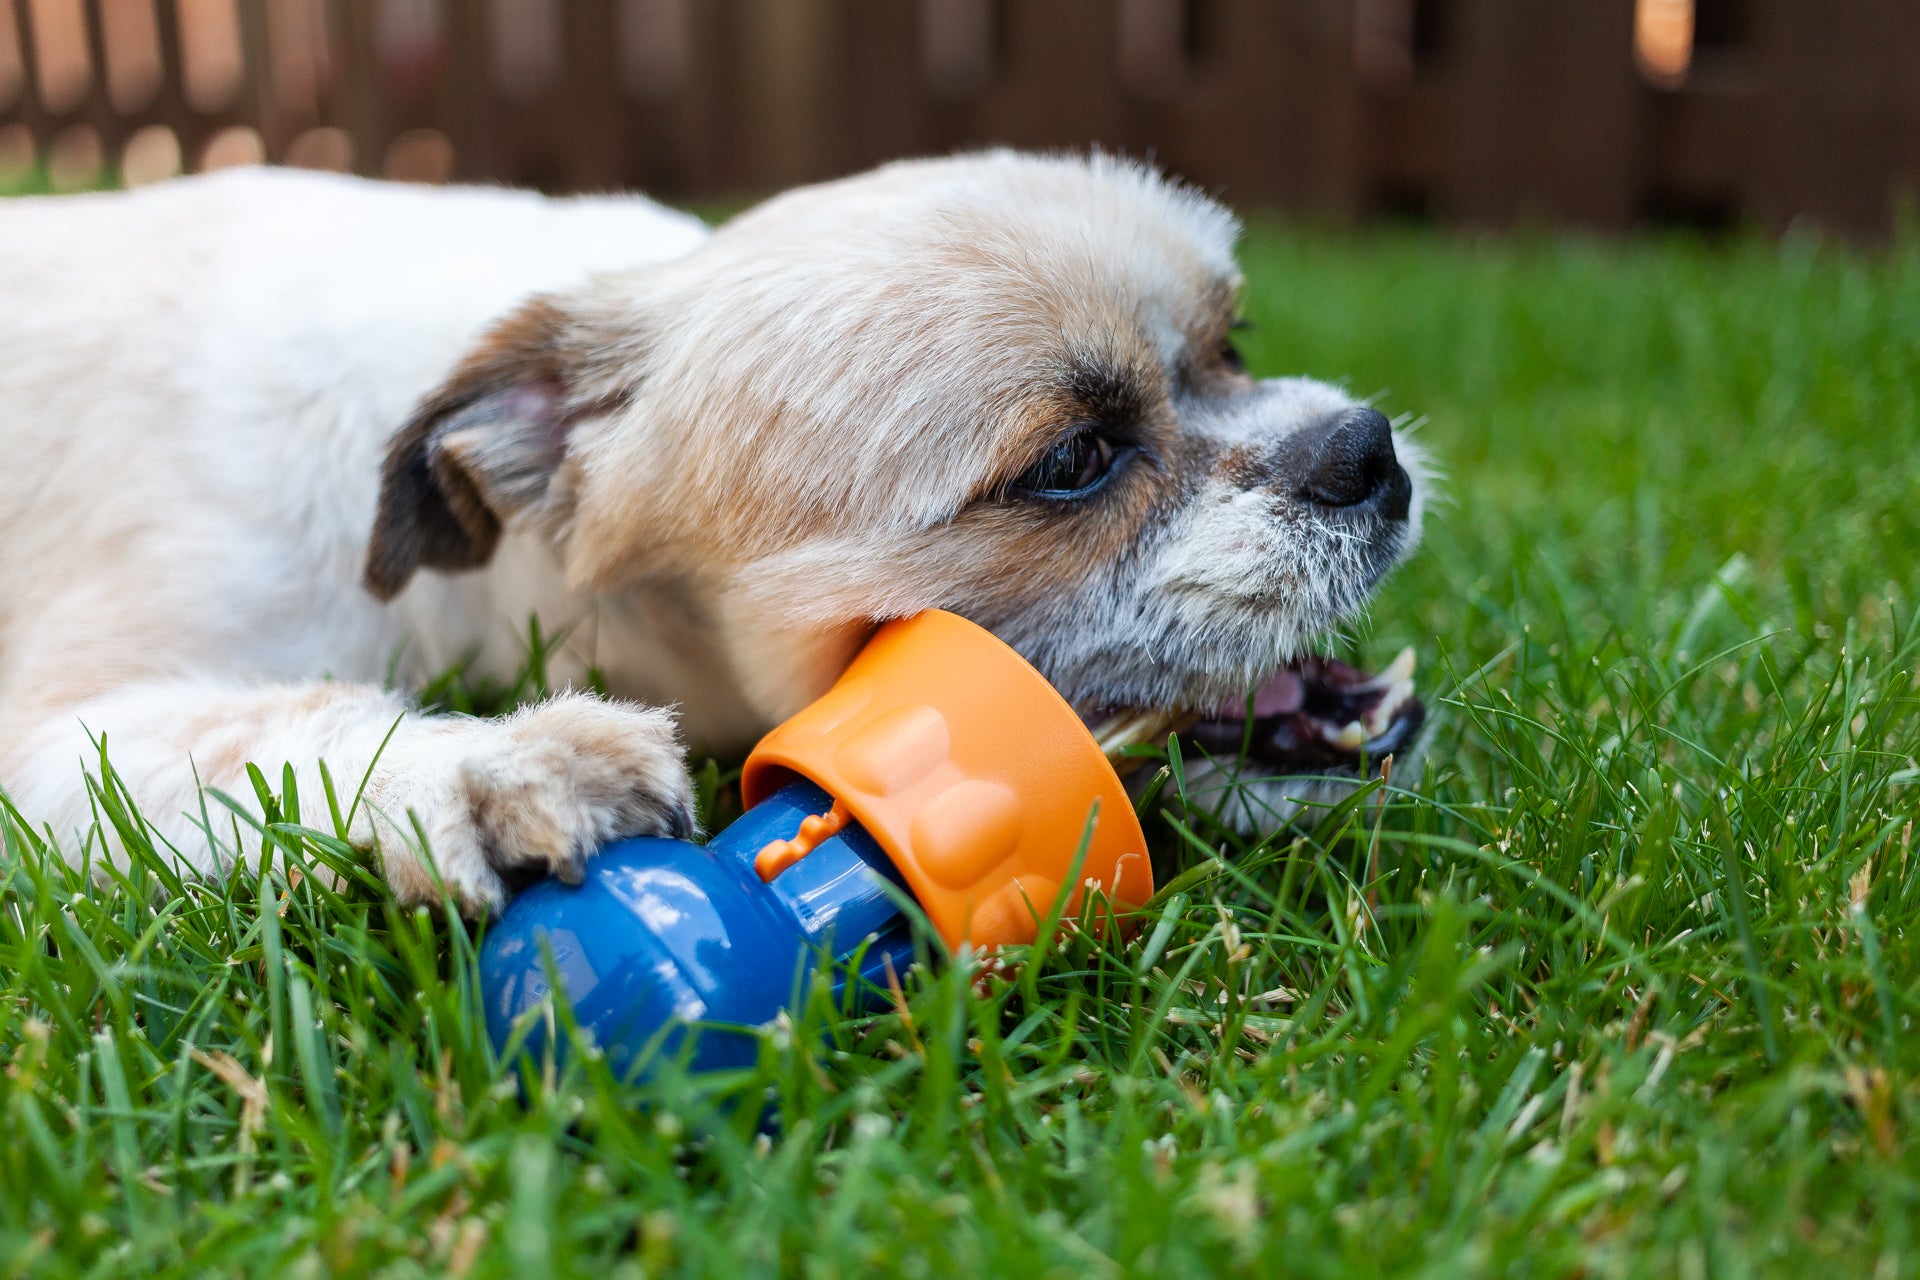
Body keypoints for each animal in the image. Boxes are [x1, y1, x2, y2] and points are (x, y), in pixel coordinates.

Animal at [0, 150, 1428, 909]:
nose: (1364, 450)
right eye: (1073, 461)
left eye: (1231, 345)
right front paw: (482, 765)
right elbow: (258, 727)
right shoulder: (55, 740)